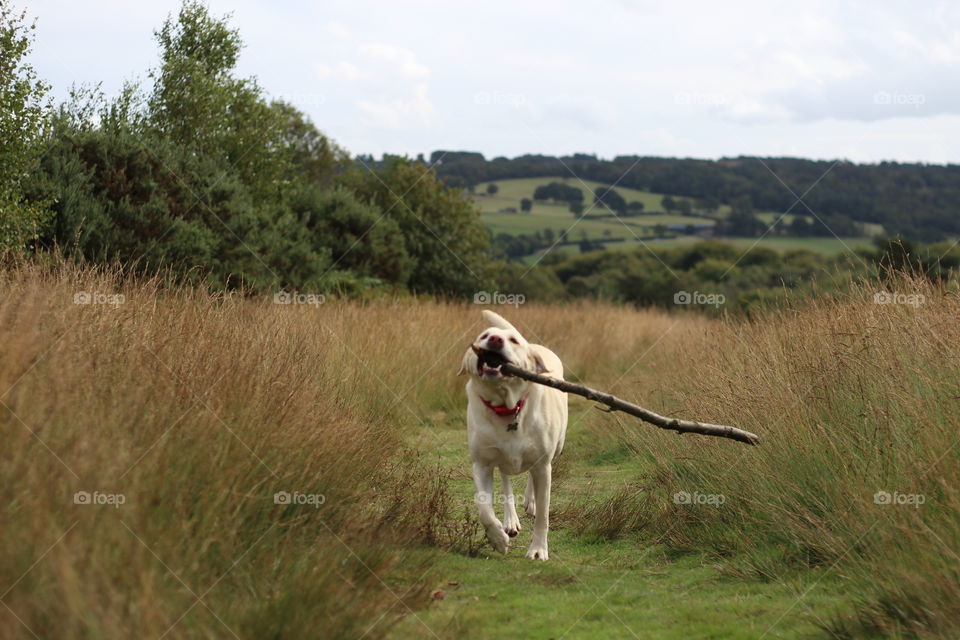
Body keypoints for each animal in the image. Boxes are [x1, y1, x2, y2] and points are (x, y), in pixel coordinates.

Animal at [460, 310, 568, 560]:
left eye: (513, 341)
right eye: (484, 335)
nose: (495, 340)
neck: (506, 406)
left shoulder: (543, 464)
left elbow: (543, 515)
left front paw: (538, 549)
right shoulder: (481, 463)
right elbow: (484, 508)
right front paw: (498, 538)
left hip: (555, 448)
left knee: (533, 477)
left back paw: (530, 502)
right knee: (505, 478)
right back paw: (510, 521)